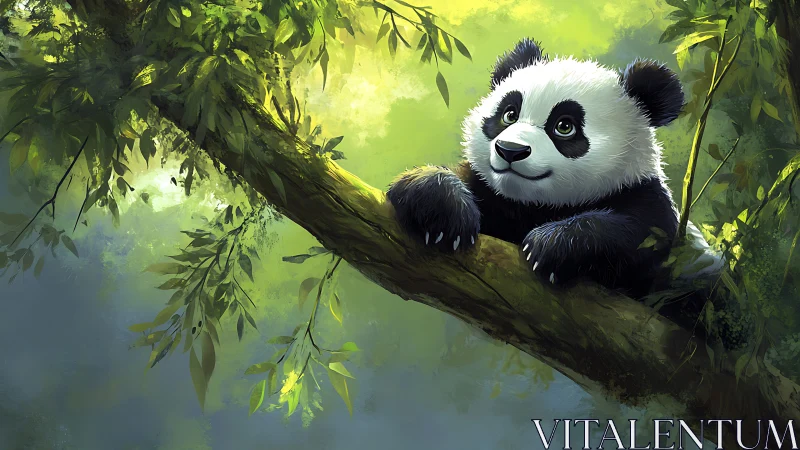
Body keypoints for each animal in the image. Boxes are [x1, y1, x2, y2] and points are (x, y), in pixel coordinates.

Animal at [386, 38, 746, 340]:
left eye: (565, 126)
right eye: (509, 114)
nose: (510, 151)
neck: (537, 205)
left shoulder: (648, 203)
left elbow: (639, 239)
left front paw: (551, 246)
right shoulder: (492, 194)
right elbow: (427, 184)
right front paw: (446, 213)